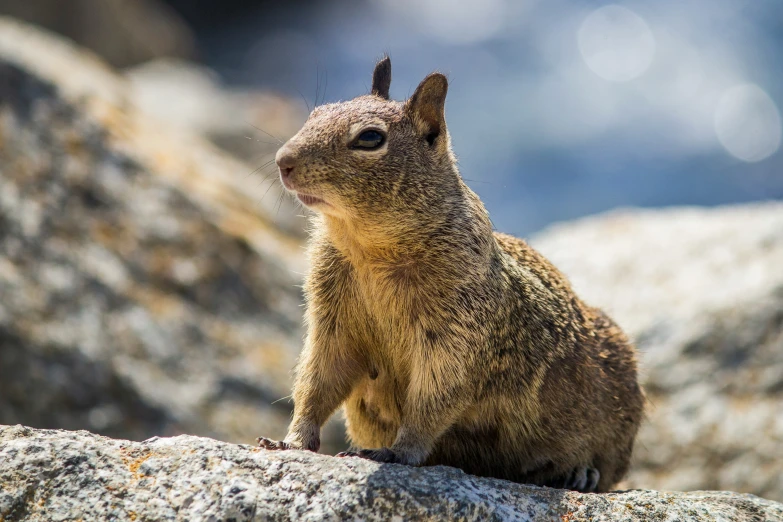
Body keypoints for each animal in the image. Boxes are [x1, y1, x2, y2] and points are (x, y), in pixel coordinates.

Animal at [260, 57, 648, 492]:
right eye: (315, 113)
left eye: (370, 138)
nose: (282, 161)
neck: (370, 250)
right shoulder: (331, 322)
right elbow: (317, 381)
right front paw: (291, 440)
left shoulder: (453, 335)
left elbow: (433, 399)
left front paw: (396, 452)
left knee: (610, 470)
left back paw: (578, 472)